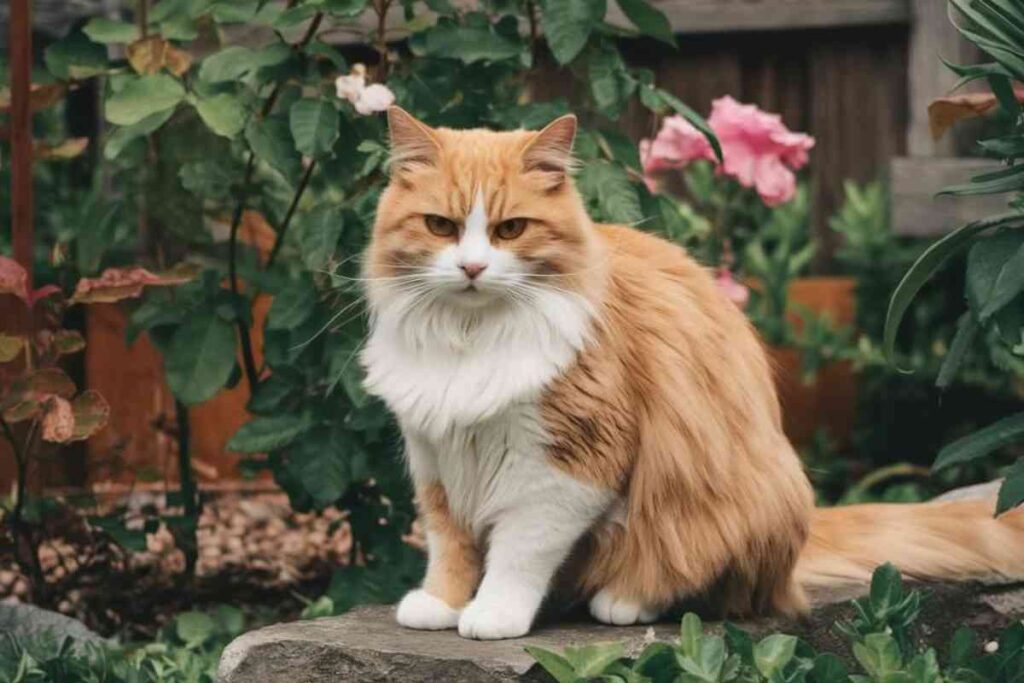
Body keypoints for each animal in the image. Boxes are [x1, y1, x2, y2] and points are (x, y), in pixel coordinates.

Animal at [358, 107, 1024, 643]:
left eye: (510, 230)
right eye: (441, 226)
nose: (472, 268)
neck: (469, 341)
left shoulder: (569, 463)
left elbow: (519, 550)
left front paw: (494, 614)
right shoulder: (436, 461)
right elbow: (450, 546)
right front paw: (441, 604)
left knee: (706, 586)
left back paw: (624, 601)